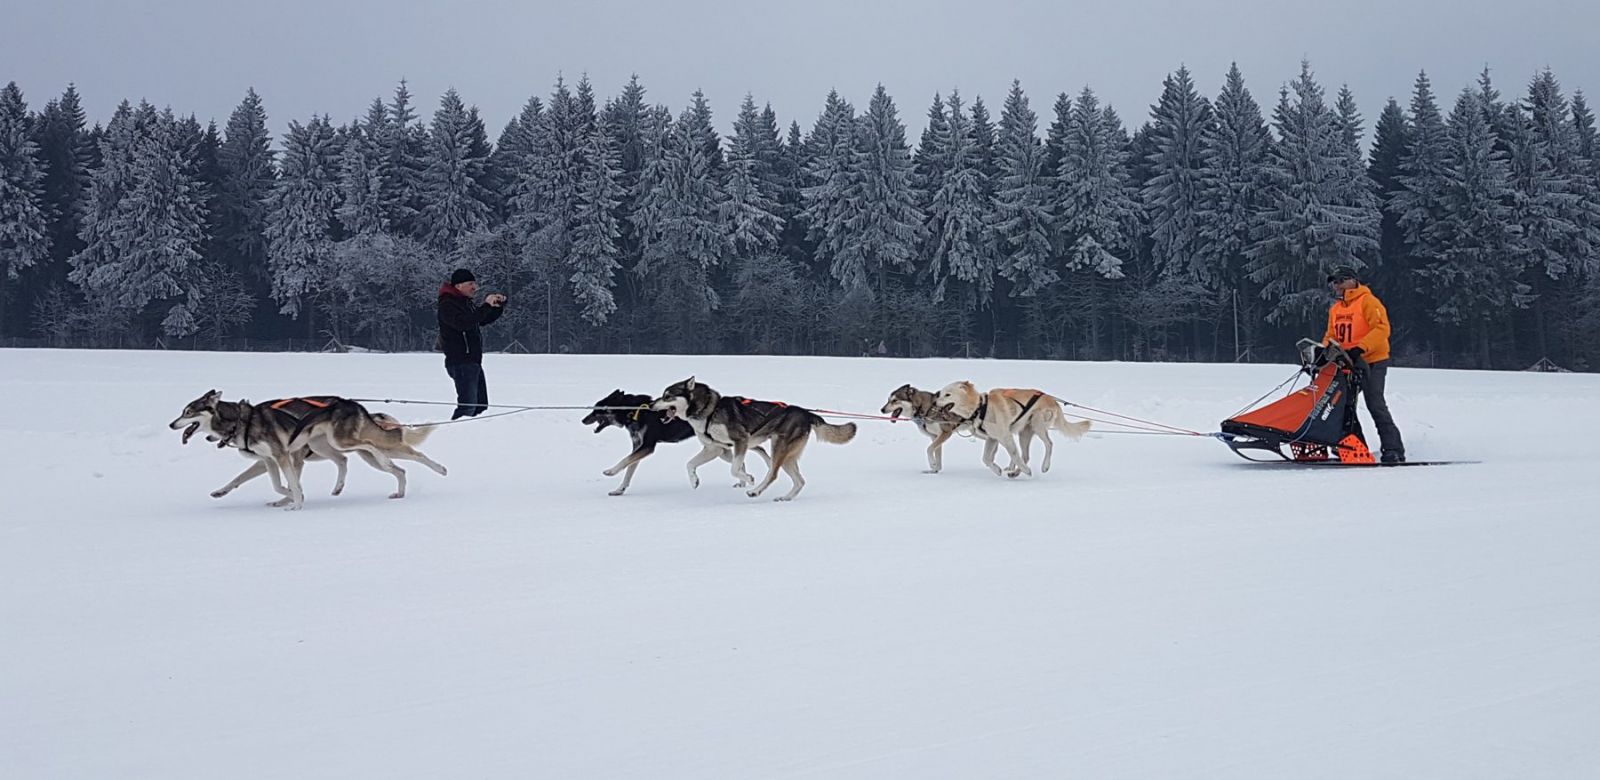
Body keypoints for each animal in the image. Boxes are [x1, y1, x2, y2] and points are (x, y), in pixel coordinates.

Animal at [170, 390, 444, 511]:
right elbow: (262, 482)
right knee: (390, 467)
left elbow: (290, 483)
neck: (240, 420)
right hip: (335, 447)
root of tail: (354, 404)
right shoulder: (269, 460)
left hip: (347, 442)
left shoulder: (283, 457)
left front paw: (294, 502)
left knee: (403, 454)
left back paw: (440, 469)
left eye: (188, 412)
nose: (172, 424)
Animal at [582, 388, 774, 495]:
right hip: (721, 448)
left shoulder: (647, 446)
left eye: (597, 409)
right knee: (743, 460)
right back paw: (743, 481)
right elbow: (629, 470)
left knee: (760, 450)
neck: (634, 411)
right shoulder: (638, 446)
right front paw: (619, 489)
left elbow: (624, 461)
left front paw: (610, 471)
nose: (583, 420)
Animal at [649, 375, 857, 498]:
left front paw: (748, 478)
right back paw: (785, 497)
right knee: (799, 480)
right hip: (787, 455)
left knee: (773, 473)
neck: (709, 411)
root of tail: (806, 413)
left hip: (779, 446)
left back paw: (756, 491)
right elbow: (690, 464)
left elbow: (735, 468)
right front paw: (694, 481)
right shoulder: (715, 448)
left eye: (667, 396)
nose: (650, 404)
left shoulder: (740, 440)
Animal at [934, 380, 1094, 479]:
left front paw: (1026, 470)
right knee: (1026, 455)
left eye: (947, 394)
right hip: (1024, 433)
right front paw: (997, 470)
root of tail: (1052, 400)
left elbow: (1014, 455)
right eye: (941, 394)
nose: (934, 402)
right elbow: (986, 458)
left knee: (1048, 444)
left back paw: (1043, 466)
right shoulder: (992, 438)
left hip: (1037, 424)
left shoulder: (1005, 436)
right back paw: (1015, 472)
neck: (980, 407)